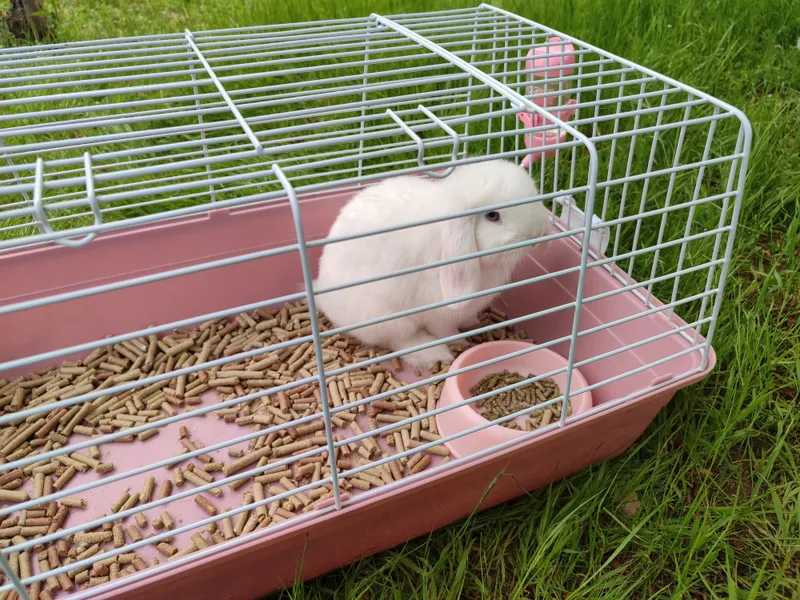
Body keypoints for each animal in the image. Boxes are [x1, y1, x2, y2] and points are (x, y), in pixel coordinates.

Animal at [313, 159, 550, 368]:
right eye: (492, 216)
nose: (538, 234)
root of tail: (323, 295)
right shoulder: (438, 313)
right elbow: (446, 331)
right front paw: (460, 342)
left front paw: (472, 322)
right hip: (387, 317)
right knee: (398, 340)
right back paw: (433, 354)